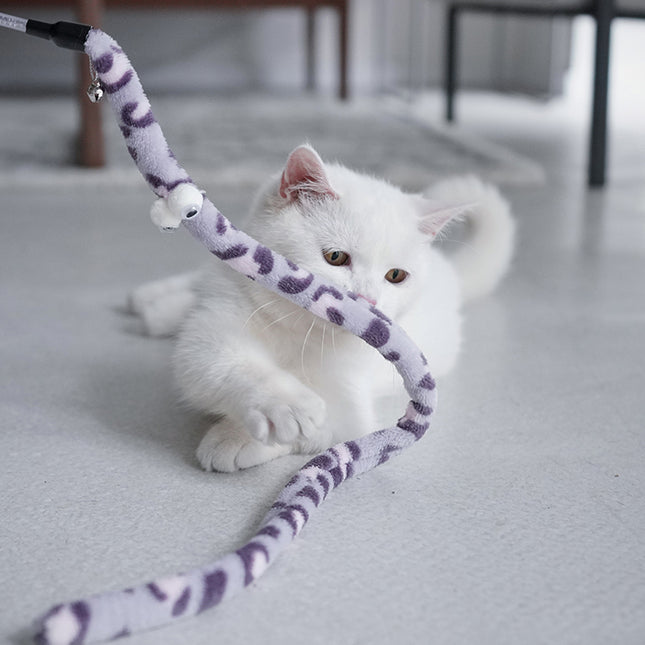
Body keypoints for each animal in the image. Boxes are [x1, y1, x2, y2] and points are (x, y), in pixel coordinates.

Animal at [130, 143, 512, 470]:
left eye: (396, 276)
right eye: (336, 257)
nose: (368, 301)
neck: (297, 330)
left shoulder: (351, 411)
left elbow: (325, 426)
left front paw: (236, 439)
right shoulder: (217, 321)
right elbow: (211, 361)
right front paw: (285, 404)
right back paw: (151, 302)